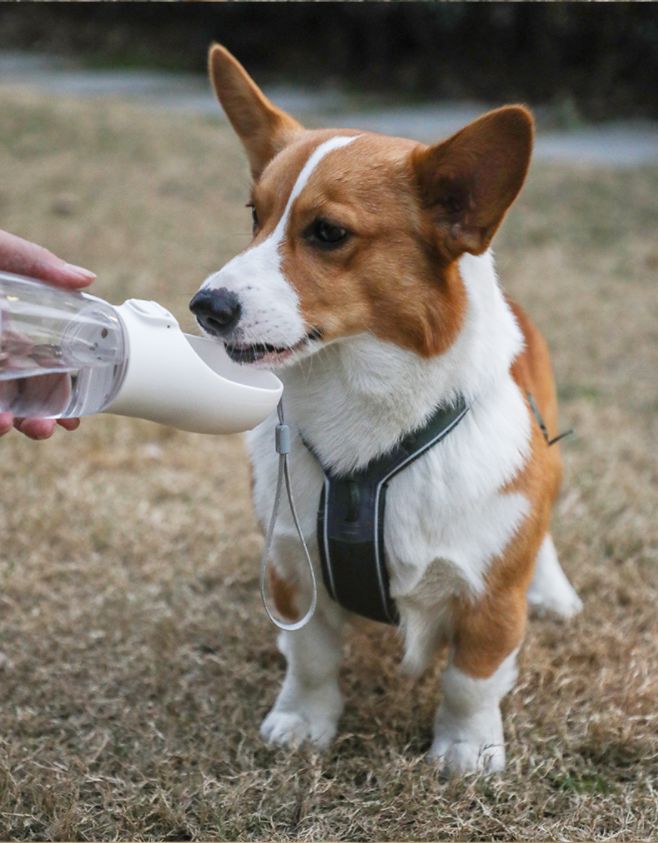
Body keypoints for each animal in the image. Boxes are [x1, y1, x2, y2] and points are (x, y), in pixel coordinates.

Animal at [188, 42, 580, 776]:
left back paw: (555, 593)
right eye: (254, 214)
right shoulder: (292, 569)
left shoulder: (490, 601)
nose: (206, 306)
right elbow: (310, 661)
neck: (361, 411)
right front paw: (302, 723)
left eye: (327, 232)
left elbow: (470, 679)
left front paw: (467, 750)